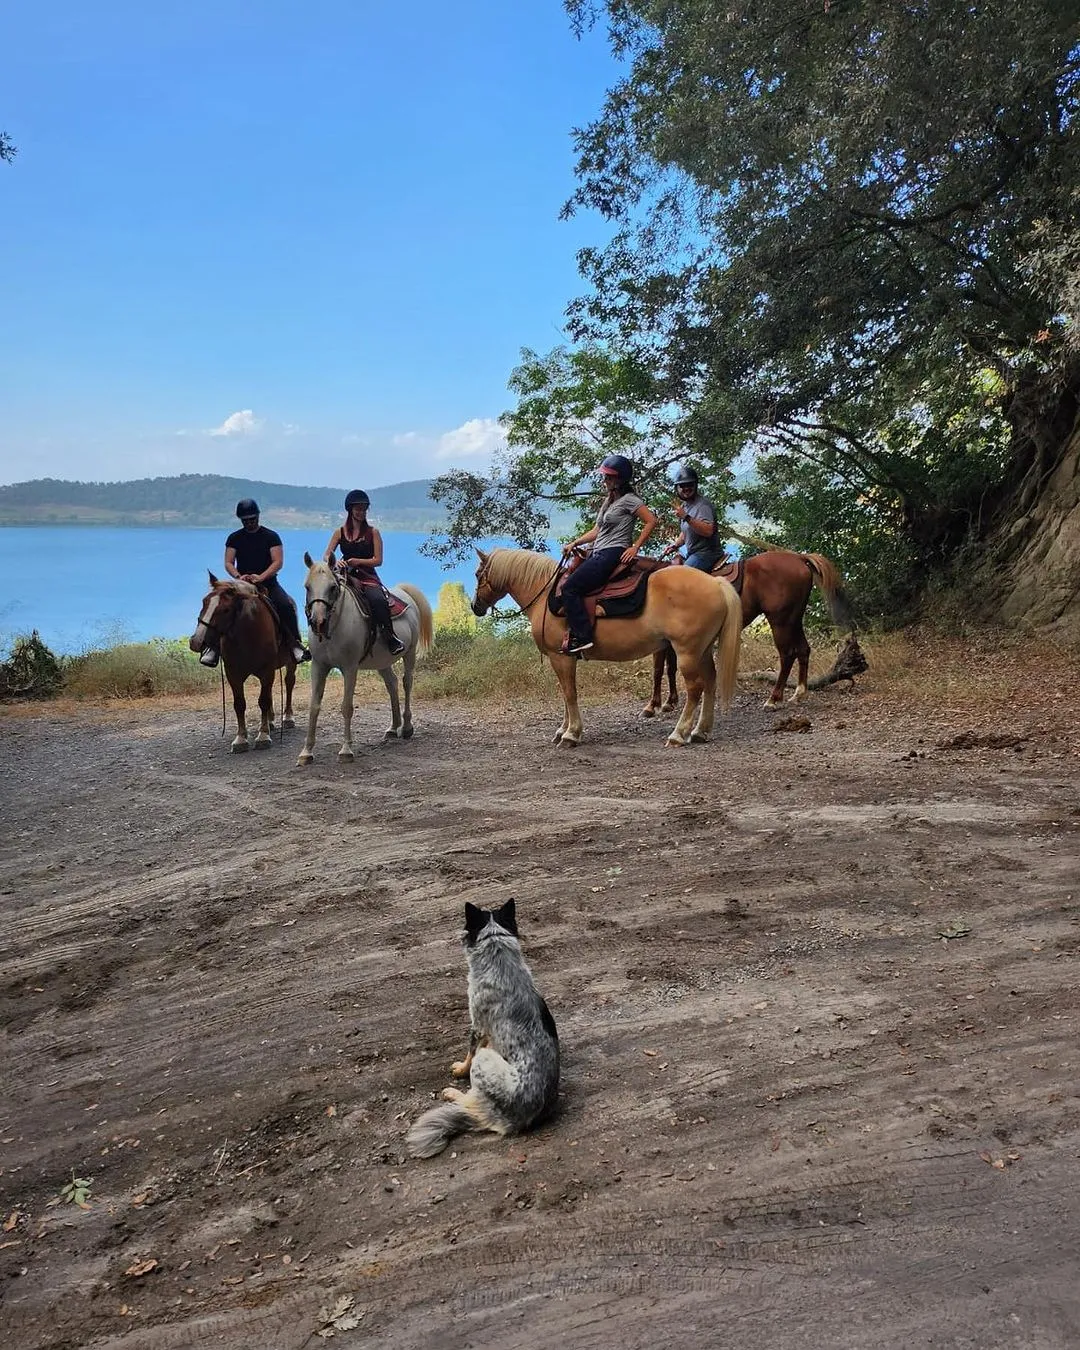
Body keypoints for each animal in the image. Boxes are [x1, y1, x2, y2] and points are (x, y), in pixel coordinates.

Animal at [189, 574, 297, 752]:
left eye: (225, 610)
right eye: (204, 602)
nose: (196, 641)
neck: (248, 633)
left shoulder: (267, 670)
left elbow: (263, 701)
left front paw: (263, 736)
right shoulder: (233, 673)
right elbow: (240, 704)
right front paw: (240, 739)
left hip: (290, 663)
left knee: (288, 683)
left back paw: (287, 718)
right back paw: (271, 721)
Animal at [297, 554, 434, 765]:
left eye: (333, 587)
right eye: (307, 587)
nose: (318, 622)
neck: (334, 627)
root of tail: (403, 591)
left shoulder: (349, 668)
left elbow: (346, 707)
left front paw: (346, 750)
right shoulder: (319, 667)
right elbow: (314, 707)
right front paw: (306, 752)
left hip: (409, 653)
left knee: (406, 683)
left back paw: (406, 727)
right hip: (383, 662)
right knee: (392, 683)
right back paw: (393, 728)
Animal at [470, 547, 743, 747]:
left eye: (477, 574)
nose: (475, 606)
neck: (546, 595)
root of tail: (716, 583)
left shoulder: (561, 657)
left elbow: (569, 693)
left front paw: (571, 734)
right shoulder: (564, 657)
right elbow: (565, 693)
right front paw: (562, 730)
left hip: (687, 652)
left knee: (696, 688)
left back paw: (678, 734)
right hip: (703, 650)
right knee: (710, 682)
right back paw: (700, 732)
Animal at [643, 548, 853, 716]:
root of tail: (799, 558)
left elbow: (658, 669)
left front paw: (653, 705)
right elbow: (670, 668)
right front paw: (669, 702)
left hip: (780, 621)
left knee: (787, 654)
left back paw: (773, 699)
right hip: (794, 620)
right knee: (803, 650)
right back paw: (799, 693)